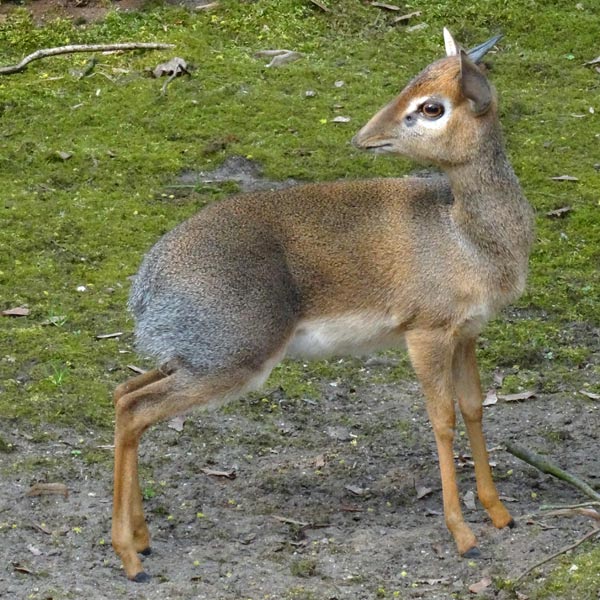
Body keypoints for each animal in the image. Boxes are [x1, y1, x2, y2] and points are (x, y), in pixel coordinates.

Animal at [112, 29, 536, 580]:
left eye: (431, 105)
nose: (364, 137)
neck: (465, 235)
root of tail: (147, 281)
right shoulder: (425, 334)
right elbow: (441, 420)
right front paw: (463, 536)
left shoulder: (466, 333)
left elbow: (472, 408)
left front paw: (499, 512)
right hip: (231, 362)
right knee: (135, 409)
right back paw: (128, 554)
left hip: (193, 356)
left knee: (124, 393)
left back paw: (141, 541)